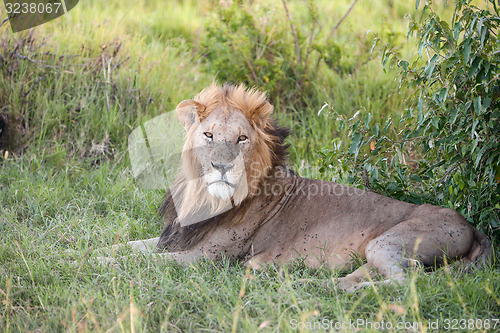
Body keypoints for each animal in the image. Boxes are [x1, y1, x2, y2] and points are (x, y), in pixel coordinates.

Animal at [127, 82, 494, 290]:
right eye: (208, 135)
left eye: (242, 139)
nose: (222, 166)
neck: (203, 197)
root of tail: (469, 224)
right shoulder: (175, 238)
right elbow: (129, 247)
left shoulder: (207, 257)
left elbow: (145, 262)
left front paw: (110, 267)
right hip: (372, 256)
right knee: (363, 280)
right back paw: (308, 285)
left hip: (387, 244)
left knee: (407, 285)